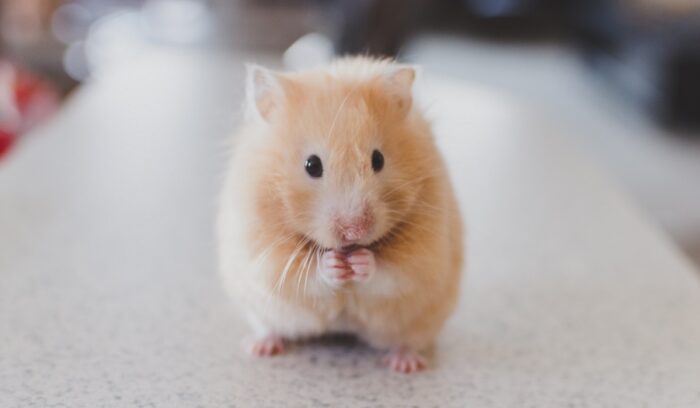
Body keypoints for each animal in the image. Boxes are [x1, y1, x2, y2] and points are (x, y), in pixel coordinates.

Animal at [217, 57, 464, 373]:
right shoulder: (264, 252)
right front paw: (334, 264)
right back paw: (260, 347)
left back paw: (405, 364)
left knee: (408, 340)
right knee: (270, 327)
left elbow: (392, 272)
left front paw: (361, 262)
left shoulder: (424, 254)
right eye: (312, 165)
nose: (354, 231)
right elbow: (304, 274)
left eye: (378, 159)